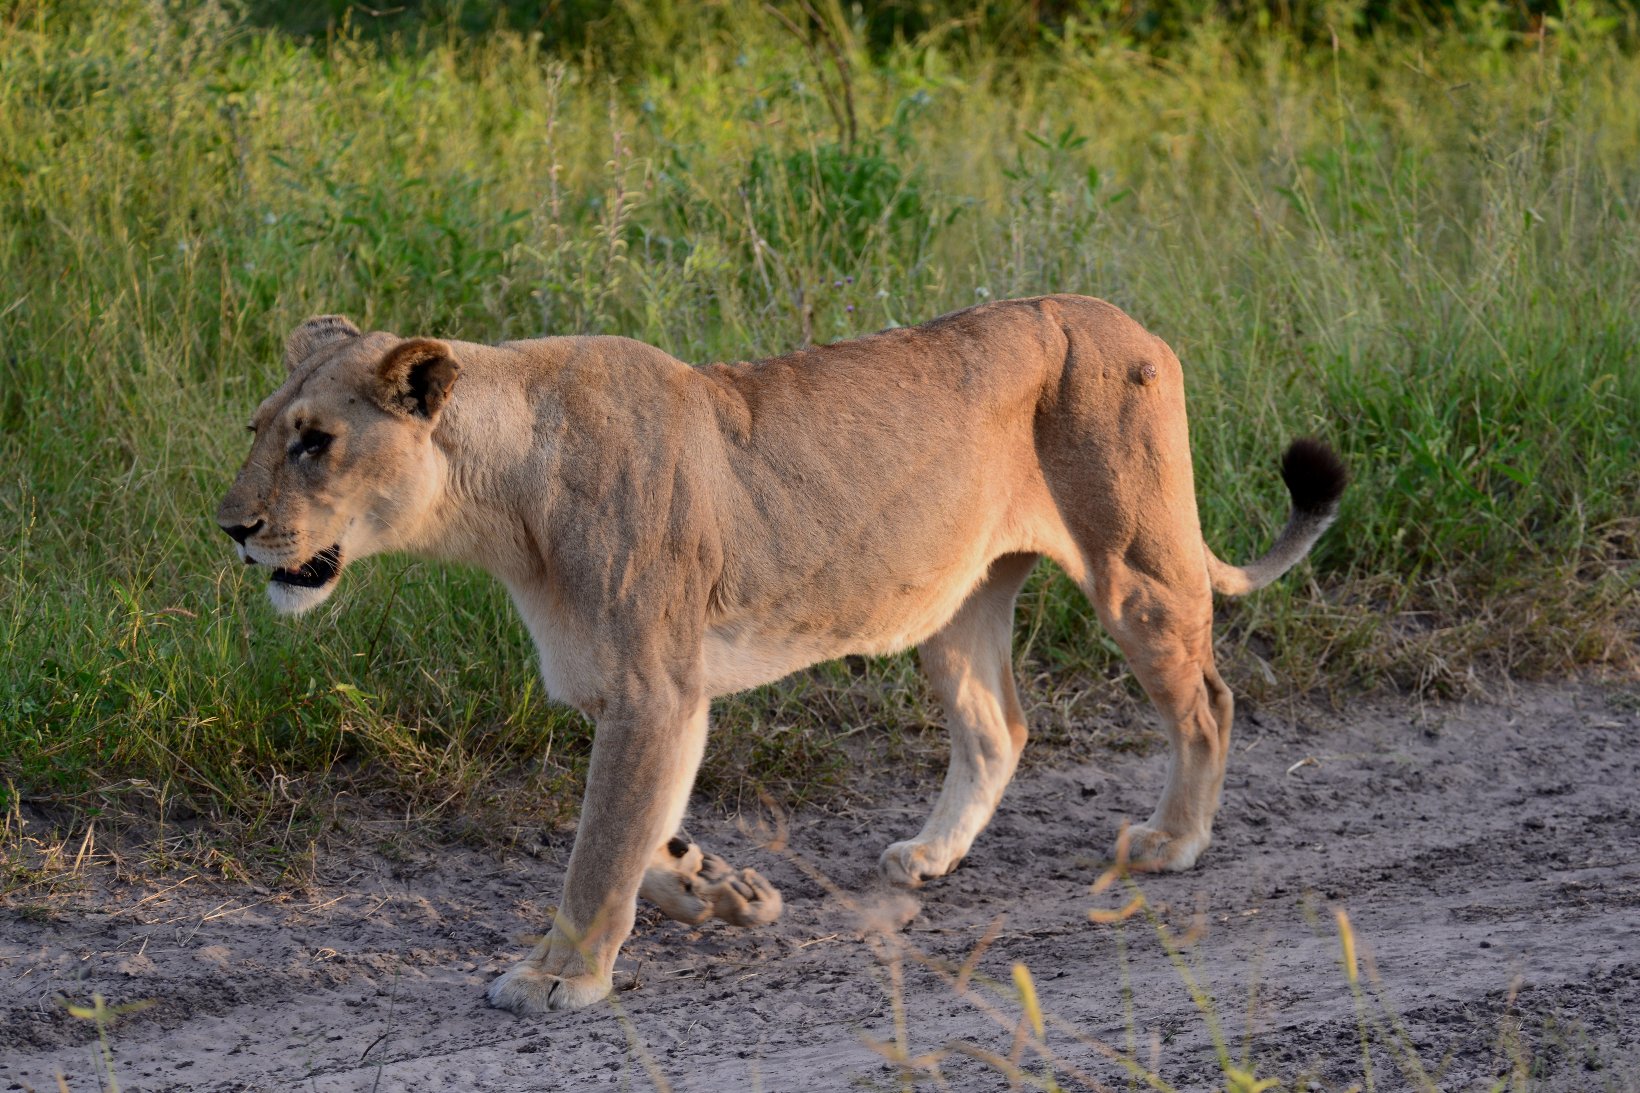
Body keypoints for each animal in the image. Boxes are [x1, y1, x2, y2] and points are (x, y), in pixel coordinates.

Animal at [217, 295, 1344, 1014]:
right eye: (259, 428)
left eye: (315, 442)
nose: (231, 527)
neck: (499, 503)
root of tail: (1129, 318)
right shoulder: (650, 697)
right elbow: (643, 829)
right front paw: (721, 887)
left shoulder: (654, 688)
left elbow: (597, 846)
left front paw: (558, 975)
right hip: (956, 596)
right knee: (1000, 726)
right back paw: (930, 854)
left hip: (1133, 564)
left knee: (1205, 698)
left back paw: (1171, 841)